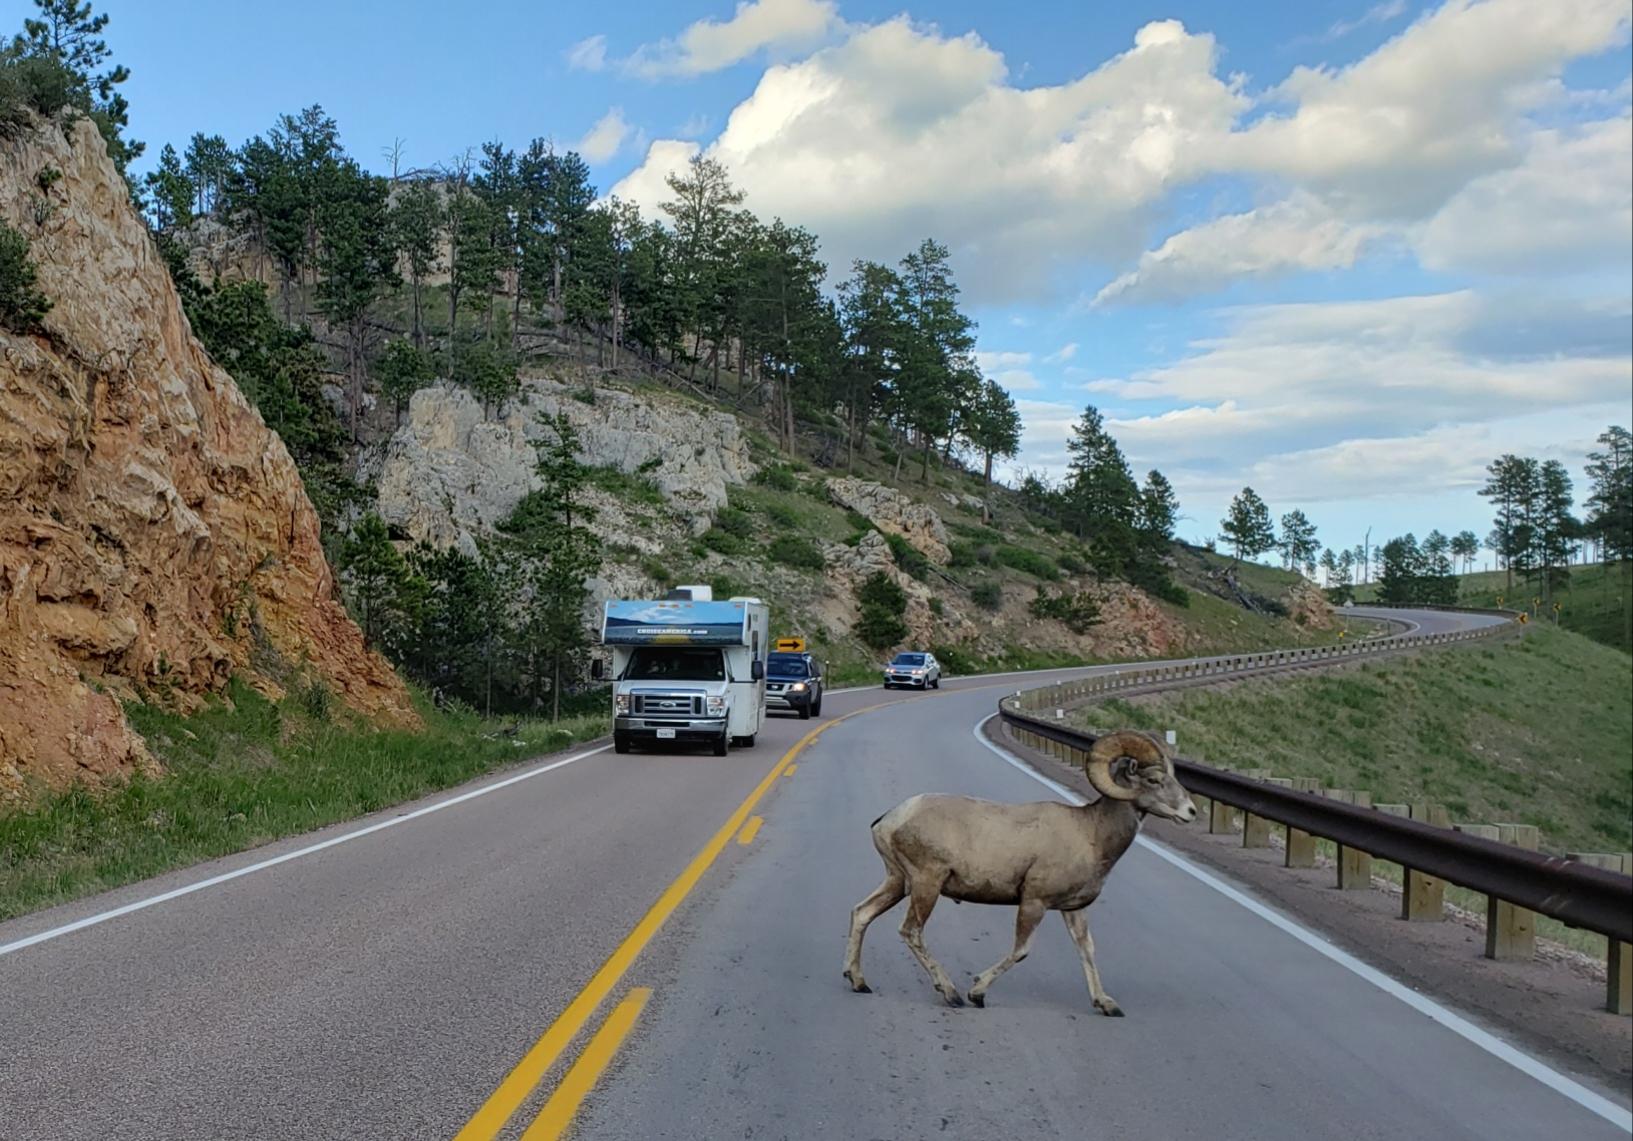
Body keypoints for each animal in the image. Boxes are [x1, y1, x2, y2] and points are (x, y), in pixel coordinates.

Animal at [841, 729, 1197, 1014]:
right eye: (1153, 780)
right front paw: (976, 992)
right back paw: (951, 993)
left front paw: (1106, 1004)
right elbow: (1022, 950)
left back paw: (858, 982)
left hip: (898, 882)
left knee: (862, 913)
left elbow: (1087, 949)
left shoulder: (1073, 909)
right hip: (926, 885)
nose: (1191, 812)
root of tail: (891, 819)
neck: (1091, 833)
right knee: (911, 931)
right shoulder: (1033, 902)